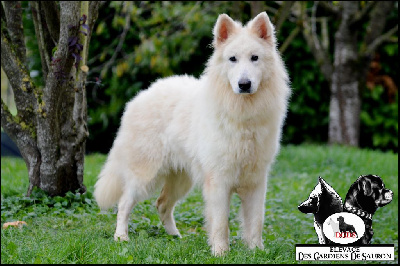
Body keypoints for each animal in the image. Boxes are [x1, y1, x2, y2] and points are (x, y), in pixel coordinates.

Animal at [95, 11, 292, 255]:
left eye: (255, 58)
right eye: (233, 59)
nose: (244, 84)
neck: (242, 113)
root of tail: (141, 96)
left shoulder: (256, 182)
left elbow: (255, 221)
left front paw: (256, 251)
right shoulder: (218, 181)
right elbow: (221, 222)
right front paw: (220, 252)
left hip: (181, 179)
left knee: (162, 204)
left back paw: (175, 238)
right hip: (145, 175)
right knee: (124, 203)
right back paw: (121, 237)